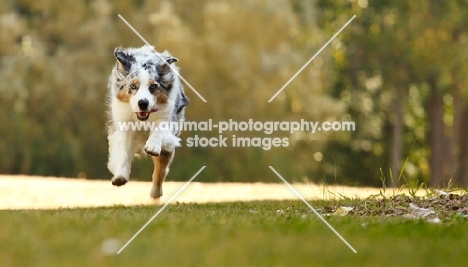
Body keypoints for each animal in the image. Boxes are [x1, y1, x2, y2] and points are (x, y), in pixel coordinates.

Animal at [107, 44, 187, 199]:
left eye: (153, 86)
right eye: (133, 86)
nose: (143, 103)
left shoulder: (167, 118)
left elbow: (158, 131)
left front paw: (152, 146)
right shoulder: (124, 124)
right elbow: (123, 151)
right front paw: (120, 176)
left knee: (161, 170)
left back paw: (155, 193)